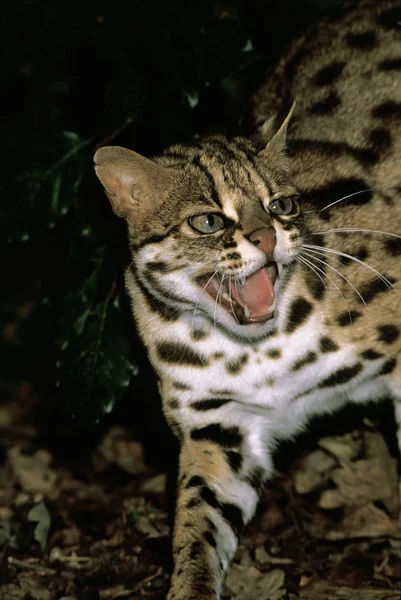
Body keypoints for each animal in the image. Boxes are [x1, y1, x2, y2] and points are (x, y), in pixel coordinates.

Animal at [94, 2, 400, 596]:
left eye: (281, 205)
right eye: (209, 222)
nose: (264, 237)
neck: (257, 351)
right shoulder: (220, 430)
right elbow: (195, 529)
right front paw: (188, 585)